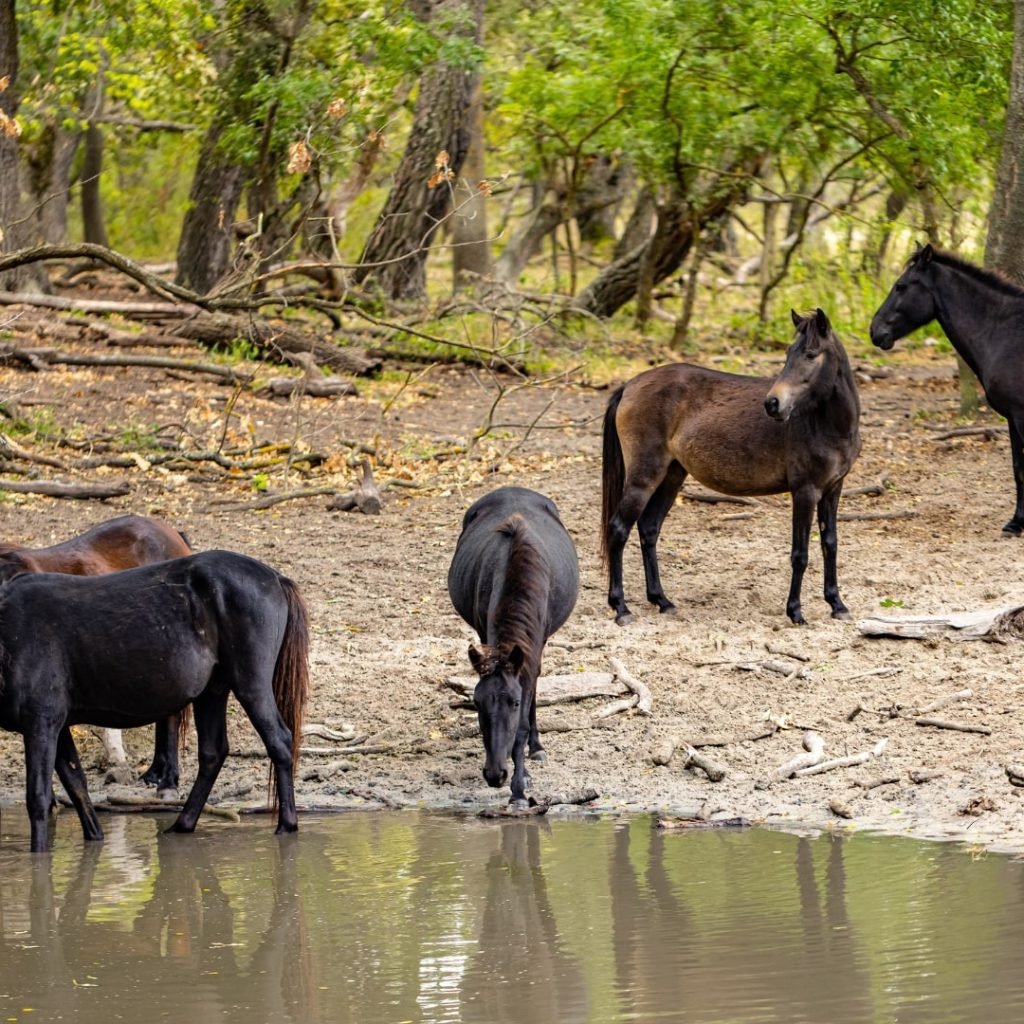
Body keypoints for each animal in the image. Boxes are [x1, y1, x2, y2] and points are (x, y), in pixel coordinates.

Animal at [0, 548, 307, 851]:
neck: (10, 635)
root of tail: (275, 577)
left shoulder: (41, 723)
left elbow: (38, 799)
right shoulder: (58, 726)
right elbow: (77, 785)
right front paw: (94, 839)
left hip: (250, 682)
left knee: (279, 742)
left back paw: (286, 825)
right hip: (212, 691)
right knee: (213, 753)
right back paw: (182, 824)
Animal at [446, 483, 581, 802]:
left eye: (514, 702)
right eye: (476, 701)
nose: (495, 774)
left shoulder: (533, 649)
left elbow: (521, 724)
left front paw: (519, 787)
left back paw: (537, 748)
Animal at [598, 303, 864, 622]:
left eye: (811, 354)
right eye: (789, 352)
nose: (773, 404)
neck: (828, 425)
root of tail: (628, 386)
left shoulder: (833, 489)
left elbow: (830, 544)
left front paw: (837, 604)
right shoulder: (805, 492)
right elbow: (800, 554)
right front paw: (795, 611)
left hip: (672, 475)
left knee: (649, 529)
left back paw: (662, 600)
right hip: (643, 477)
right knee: (618, 529)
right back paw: (620, 607)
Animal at [868, 244, 1024, 540]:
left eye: (901, 286)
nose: (874, 331)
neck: (1005, 334)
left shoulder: (1021, 416)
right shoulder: (1012, 418)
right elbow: (1017, 468)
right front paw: (1016, 523)